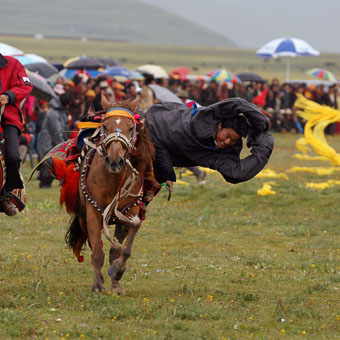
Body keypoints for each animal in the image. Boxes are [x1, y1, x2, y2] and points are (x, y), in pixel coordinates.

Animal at [63, 97, 155, 294]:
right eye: (105, 126)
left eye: (131, 127)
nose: (114, 160)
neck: (113, 180)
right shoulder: (93, 214)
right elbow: (97, 252)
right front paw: (98, 285)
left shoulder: (130, 212)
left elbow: (124, 249)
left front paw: (117, 275)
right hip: (84, 219)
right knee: (94, 245)